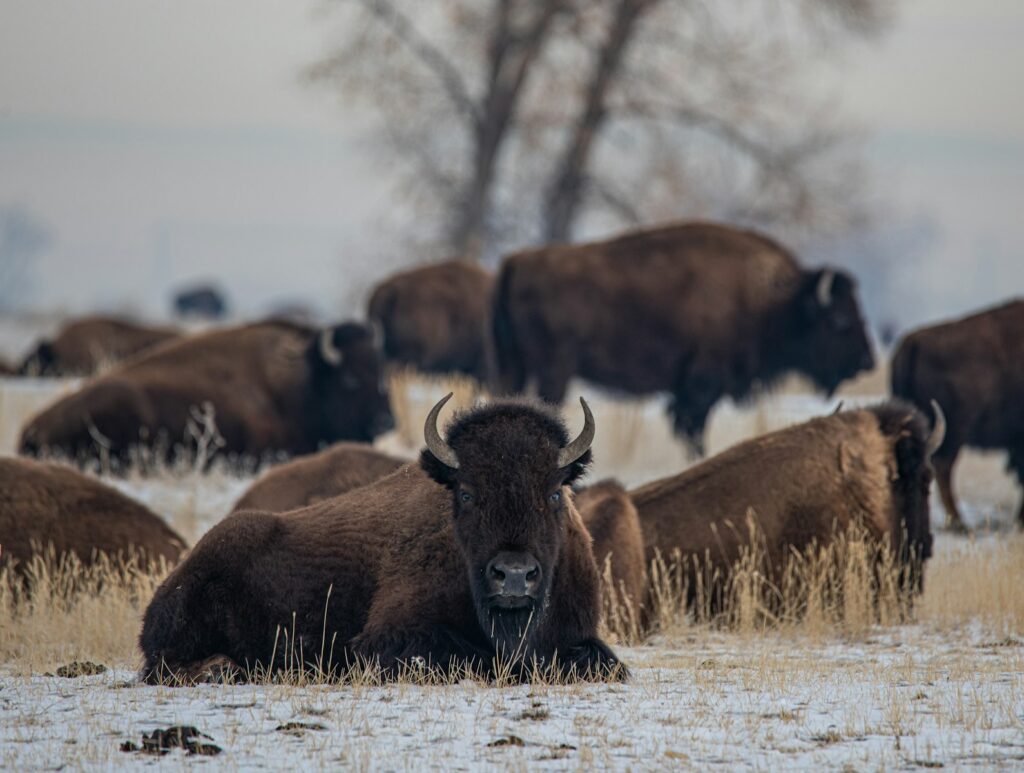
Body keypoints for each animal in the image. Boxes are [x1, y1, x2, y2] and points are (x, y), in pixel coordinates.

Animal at [493, 221, 875, 450]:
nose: (867, 361)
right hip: (554, 371)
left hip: (515, 368)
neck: (769, 299)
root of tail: (517, 262)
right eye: (840, 319)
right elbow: (692, 428)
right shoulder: (701, 386)